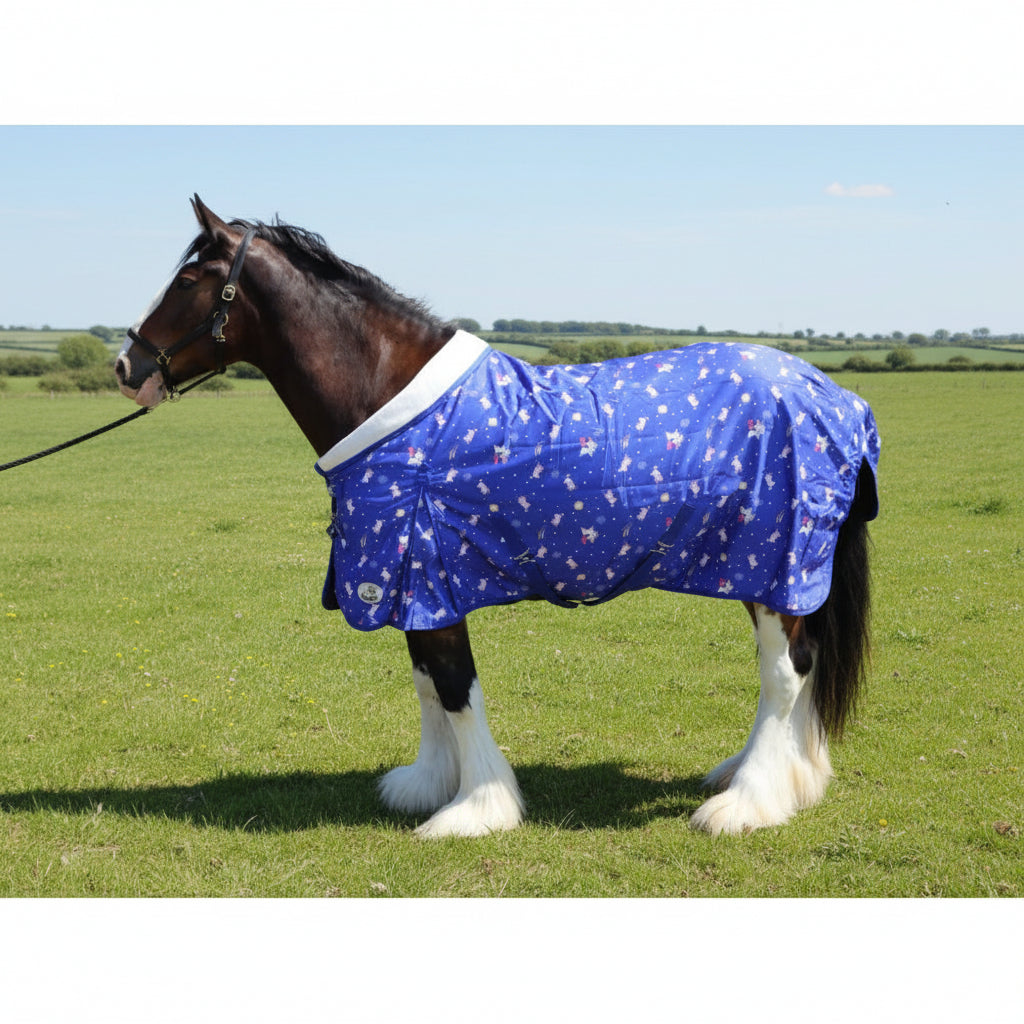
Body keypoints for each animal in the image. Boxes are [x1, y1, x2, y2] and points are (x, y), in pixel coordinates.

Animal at [116, 196, 880, 838]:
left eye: (188, 280)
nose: (126, 367)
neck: (392, 400)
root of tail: (833, 397)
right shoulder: (411, 585)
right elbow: (426, 682)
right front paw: (428, 784)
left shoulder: (427, 573)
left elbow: (455, 688)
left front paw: (476, 808)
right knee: (796, 671)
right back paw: (777, 778)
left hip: (774, 566)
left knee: (786, 673)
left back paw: (746, 801)